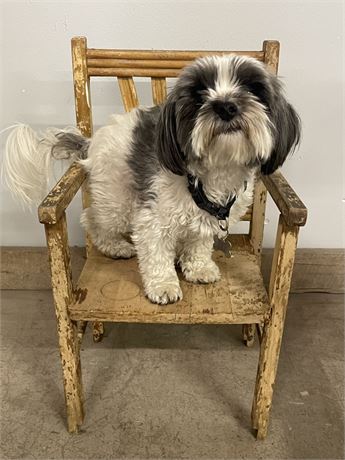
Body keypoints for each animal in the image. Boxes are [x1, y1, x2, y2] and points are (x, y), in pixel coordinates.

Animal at [2, 54, 298, 306]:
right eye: (199, 95)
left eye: (254, 89)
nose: (226, 106)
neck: (214, 172)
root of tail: (91, 141)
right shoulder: (152, 218)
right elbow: (156, 254)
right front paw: (163, 286)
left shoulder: (208, 220)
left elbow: (199, 243)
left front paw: (199, 267)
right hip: (117, 198)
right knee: (92, 217)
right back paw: (115, 246)